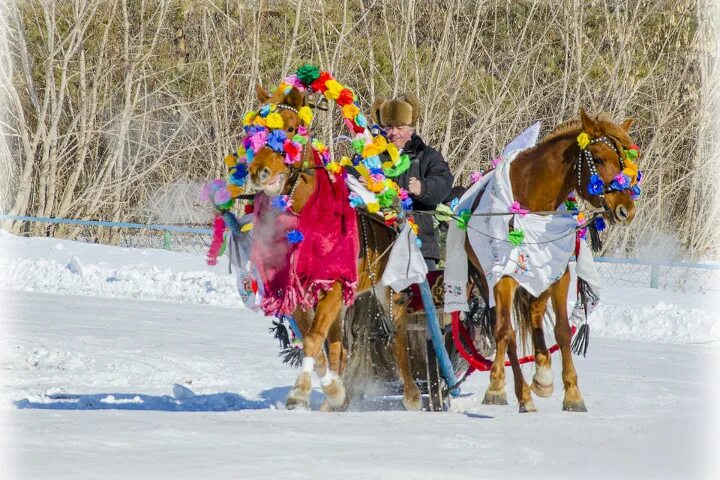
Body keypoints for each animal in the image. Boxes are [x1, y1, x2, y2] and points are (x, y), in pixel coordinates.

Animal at [246, 84, 422, 410]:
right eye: (256, 130)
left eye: (291, 128)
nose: (258, 171)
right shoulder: (299, 291)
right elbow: (316, 346)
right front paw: (333, 391)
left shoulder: (335, 285)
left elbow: (314, 339)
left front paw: (300, 392)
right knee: (340, 350)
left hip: (390, 290)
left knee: (399, 337)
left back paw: (412, 395)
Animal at [466, 109, 640, 412]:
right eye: (598, 158)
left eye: (625, 162)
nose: (625, 209)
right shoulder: (503, 276)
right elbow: (505, 331)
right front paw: (497, 387)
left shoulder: (559, 275)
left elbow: (562, 332)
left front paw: (572, 392)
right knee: (505, 329)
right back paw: (520, 391)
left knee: (534, 313)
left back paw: (542, 374)